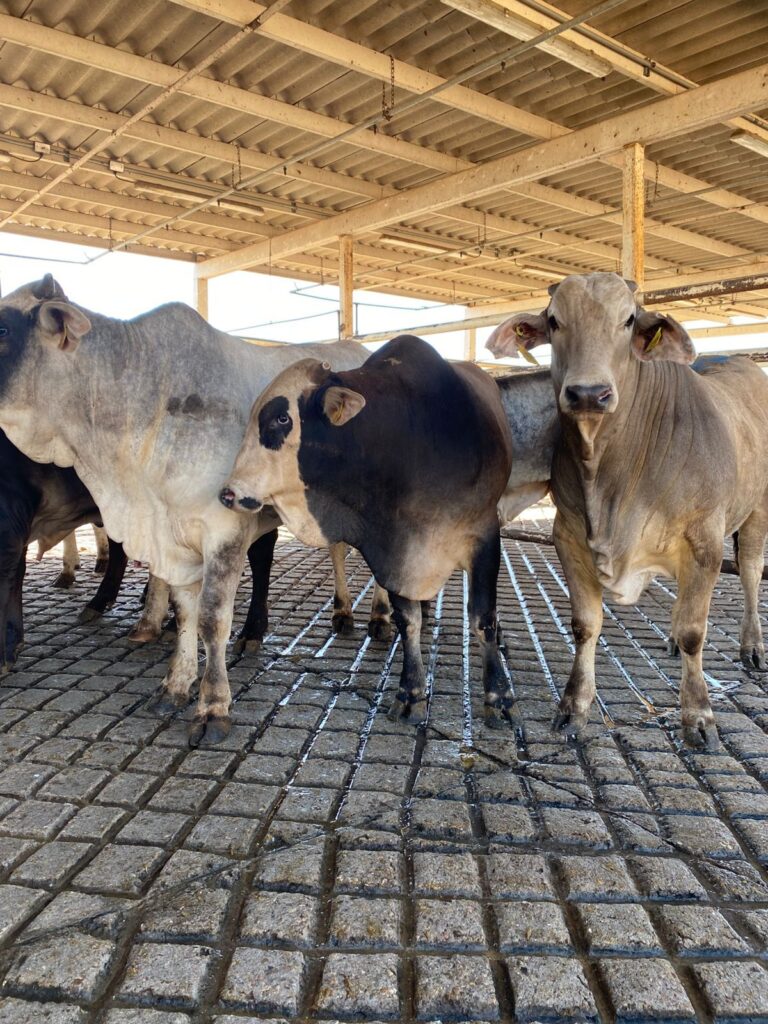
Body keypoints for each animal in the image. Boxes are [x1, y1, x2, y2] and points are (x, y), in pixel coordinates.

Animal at [221, 334, 514, 726]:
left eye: (282, 417)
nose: (227, 493)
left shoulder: (484, 535)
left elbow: (483, 618)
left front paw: (499, 696)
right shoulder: (391, 547)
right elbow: (408, 620)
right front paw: (410, 691)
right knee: (340, 553)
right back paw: (350, 613)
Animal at [487, 272, 768, 750]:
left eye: (628, 320)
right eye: (554, 320)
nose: (588, 393)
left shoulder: (704, 542)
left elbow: (696, 631)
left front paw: (699, 717)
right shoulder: (568, 535)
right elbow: (585, 624)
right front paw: (574, 707)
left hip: (757, 510)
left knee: (749, 570)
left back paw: (752, 646)